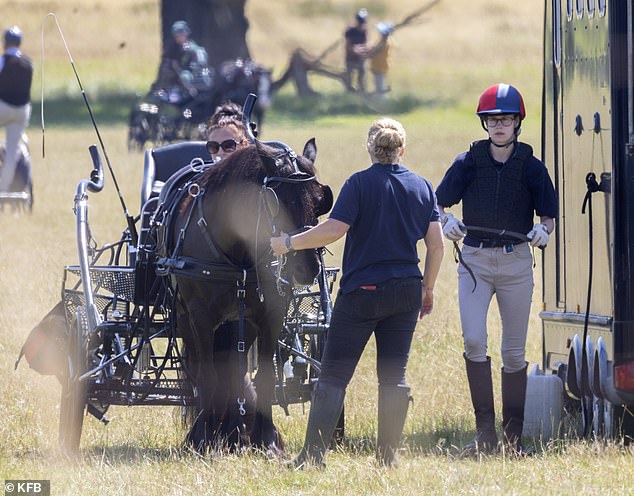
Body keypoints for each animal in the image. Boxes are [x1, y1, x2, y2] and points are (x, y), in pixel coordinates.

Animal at [160, 136, 330, 454]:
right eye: (279, 201)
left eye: (319, 199)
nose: (308, 267)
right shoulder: (199, 317)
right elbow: (207, 376)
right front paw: (203, 439)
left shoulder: (270, 314)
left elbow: (264, 377)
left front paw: (267, 440)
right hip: (185, 317)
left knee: (232, 371)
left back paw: (235, 430)